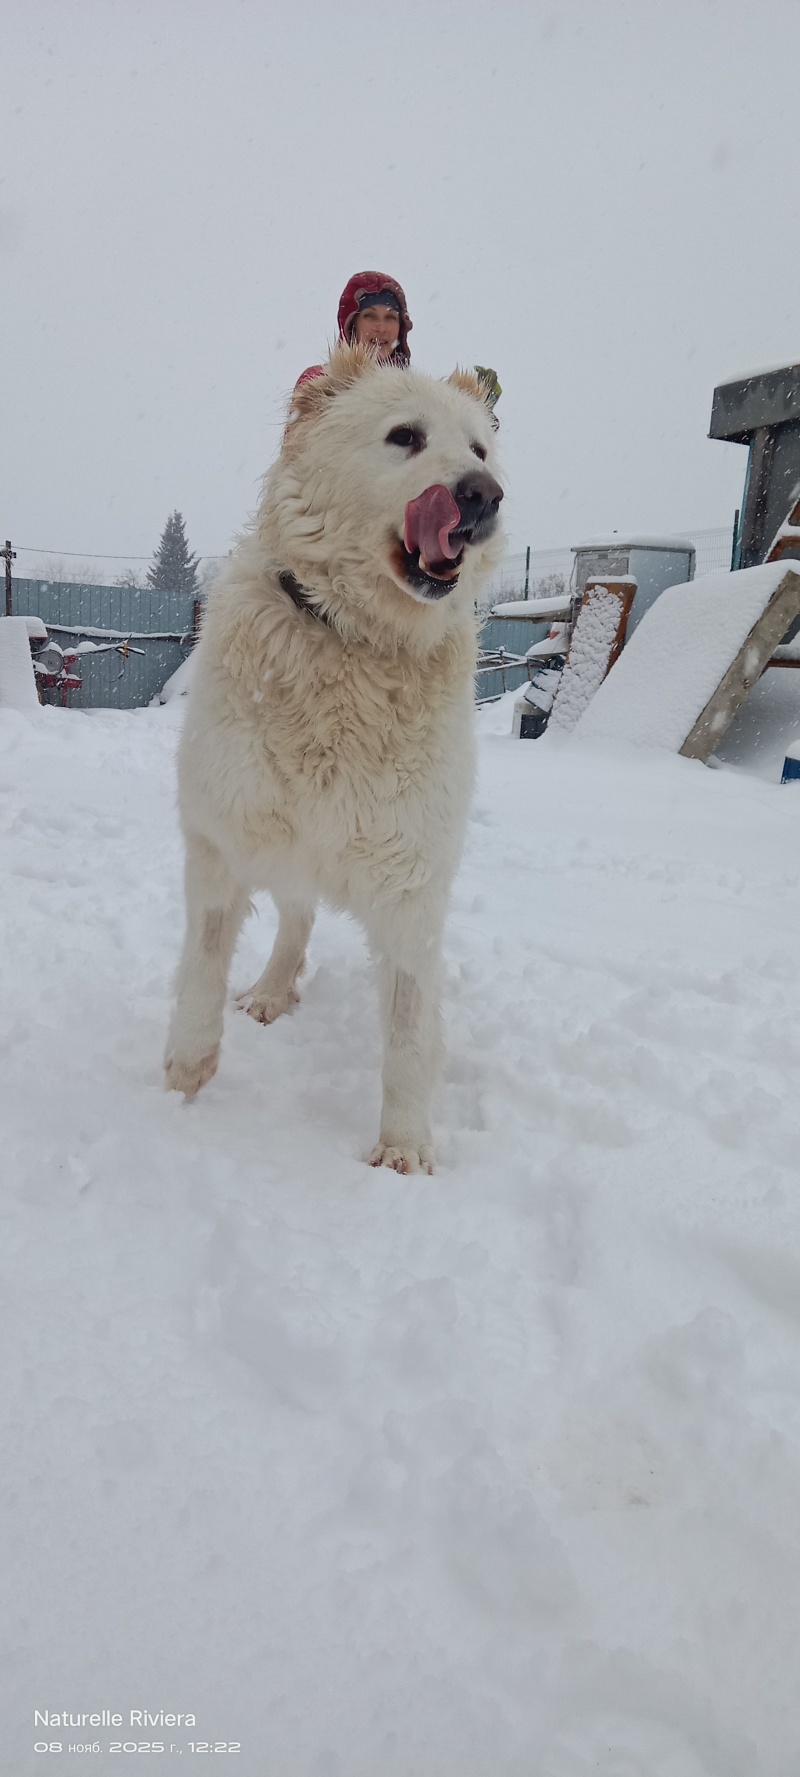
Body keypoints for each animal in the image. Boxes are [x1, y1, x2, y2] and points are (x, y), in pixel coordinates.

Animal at [165, 343, 504, 1173]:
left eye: (479, 450)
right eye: (405, 437)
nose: (483, 495)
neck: (355, 642)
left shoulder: (413, 882)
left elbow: (409, 1030)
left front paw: (405, 1150)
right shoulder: (221, 838)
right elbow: (202, 965)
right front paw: (186, 1069)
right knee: (296, 915)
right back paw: (268, 990)